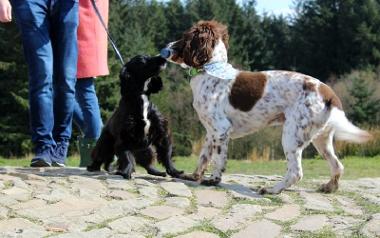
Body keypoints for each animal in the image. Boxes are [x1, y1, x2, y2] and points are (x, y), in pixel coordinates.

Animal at [163, 20, 372, 194]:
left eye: (184, 37)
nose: (167, 48)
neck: (210, 71)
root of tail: (329, 94)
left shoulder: (221, 129)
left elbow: (218, 159)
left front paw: (213, 180)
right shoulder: (210, 132)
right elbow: (203, 156)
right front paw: (194, 176)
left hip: (292, 136)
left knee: (296, 172)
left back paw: (272, 189)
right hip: (321, 138)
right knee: (337, 166)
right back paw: (328, 187)